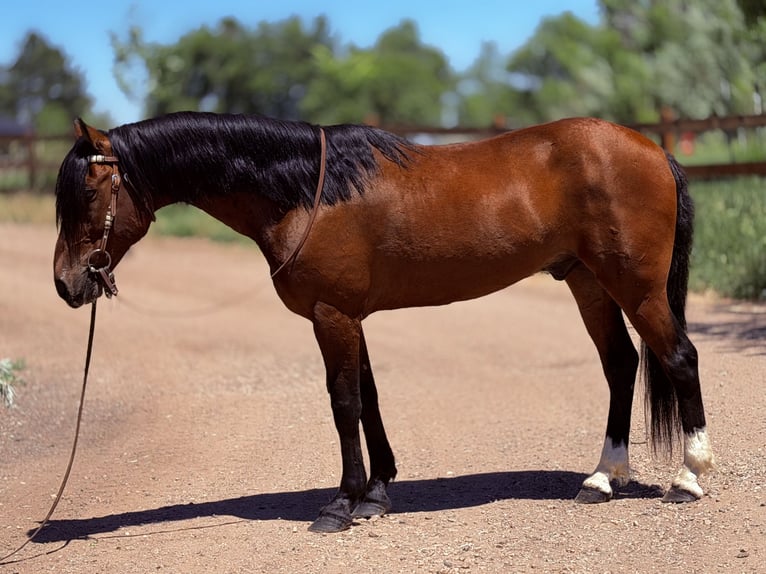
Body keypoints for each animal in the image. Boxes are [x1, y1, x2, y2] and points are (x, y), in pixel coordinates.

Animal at [53, 112, 715, 533]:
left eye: (87, 194)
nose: (67, 283)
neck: (307, 192)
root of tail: (652, 150)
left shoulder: (332, 316)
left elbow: (344, 401)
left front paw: (341, 505)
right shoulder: (351, 317)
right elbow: (368, 398)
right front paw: (376, 494)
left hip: (634, 286)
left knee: (679, 357)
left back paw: (689, 477)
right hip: (587, 282)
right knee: (621, 365)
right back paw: (603, 479)